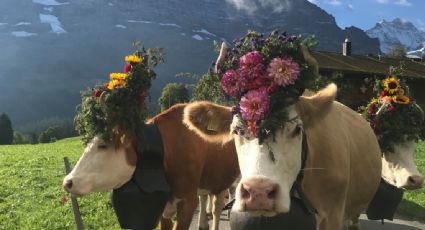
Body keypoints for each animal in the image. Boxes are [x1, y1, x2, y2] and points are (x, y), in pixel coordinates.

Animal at [63, 103, 242, 230]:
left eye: (103, 145)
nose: (67, 182)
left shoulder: (187, 201)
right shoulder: (163, 206)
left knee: (219, 205)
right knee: (207, 198)